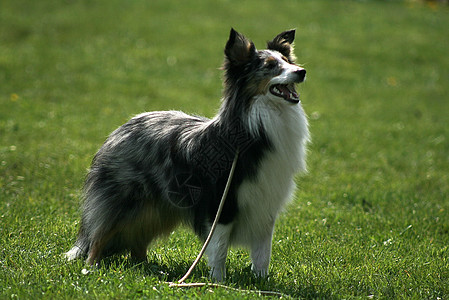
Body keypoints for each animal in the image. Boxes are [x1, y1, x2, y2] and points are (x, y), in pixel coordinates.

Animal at [66, 28, 310, 282]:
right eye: (271, 66)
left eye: (288, 61)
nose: (301, 71)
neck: (256, 125)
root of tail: (119, 130)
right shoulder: (221, 203)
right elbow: (219, 249)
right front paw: (218, 283)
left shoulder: (266, 206)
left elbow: (263, 254)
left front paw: (260, 281)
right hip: (125, 201)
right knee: (99, 234)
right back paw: (92, 268)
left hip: (159, 208)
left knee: (138, 240)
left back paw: (148, 268)